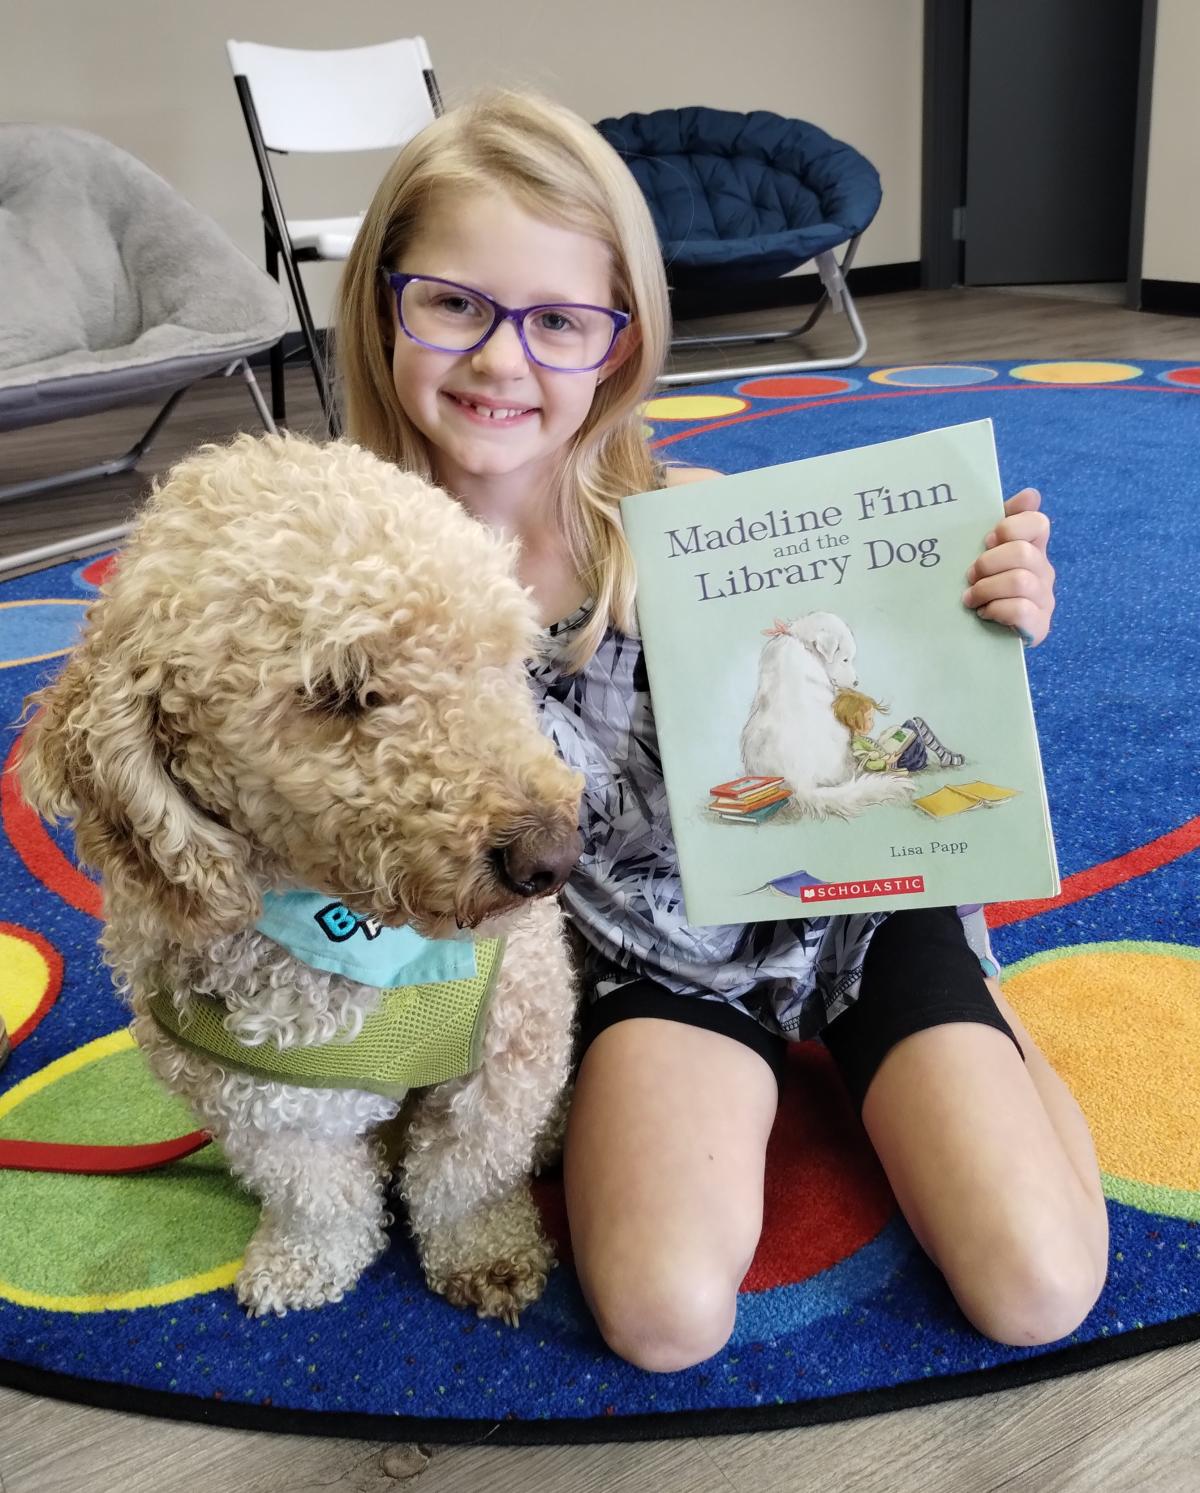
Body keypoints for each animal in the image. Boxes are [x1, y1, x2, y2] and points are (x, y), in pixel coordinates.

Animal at [18, 432, 582, 1319]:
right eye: (338, 692)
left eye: (500, 658)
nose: (551, 858)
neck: (349, 934)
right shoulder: (245, 1096)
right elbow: (317, 1193)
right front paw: (304, 1261)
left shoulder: (510, 1049)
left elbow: (466, 1175)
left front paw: (486, 1253)